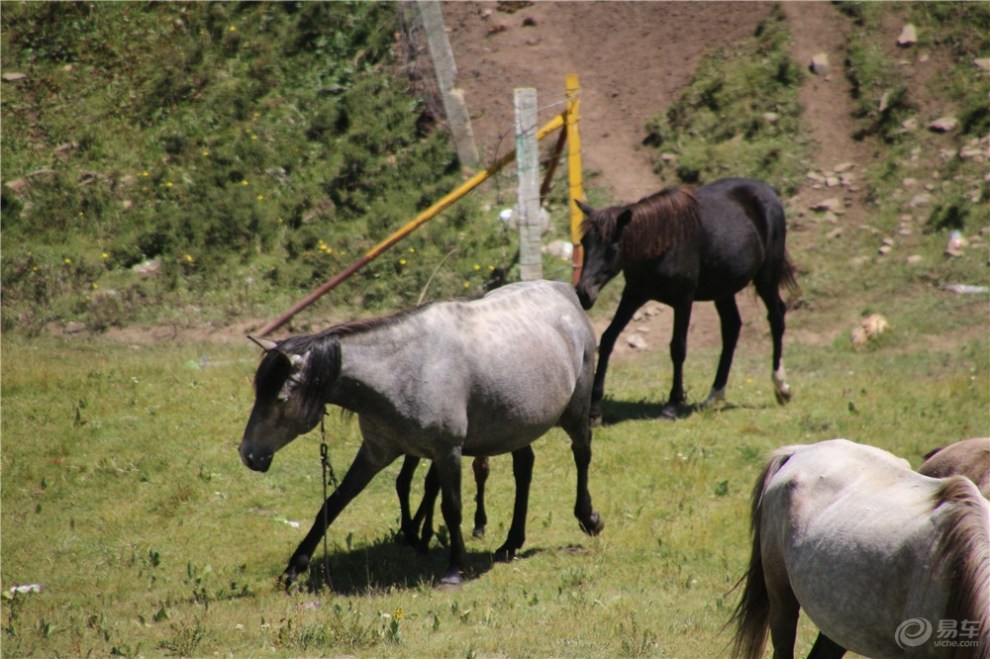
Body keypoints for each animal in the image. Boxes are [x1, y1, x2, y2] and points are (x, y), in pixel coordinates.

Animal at [240, 280, 604, 588]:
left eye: (281, 398)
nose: (248, 454)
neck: (404, 370)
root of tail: (562, 290)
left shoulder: (447, 452)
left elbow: (451, 507)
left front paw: (454, 569)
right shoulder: (377, 452)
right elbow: (335, 502)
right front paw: (293, 569)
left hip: (575, 411)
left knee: (582, 453)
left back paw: (588, 518)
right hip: (517, 426)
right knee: (524, 468)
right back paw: (511, 543)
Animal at [572, 178, 800, 420]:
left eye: (614, 245)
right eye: (584, 242)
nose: (584, 292)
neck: (662, 241)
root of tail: (768, 190)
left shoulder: (683, 300)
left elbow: (678, 348)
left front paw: (672, 405)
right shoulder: (634, 294)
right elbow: (608, 339)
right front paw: (595, 408)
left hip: (766, 278)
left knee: (776, 317)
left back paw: (782, 388)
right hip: (723, 290)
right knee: (731, 328)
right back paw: (714, 396)